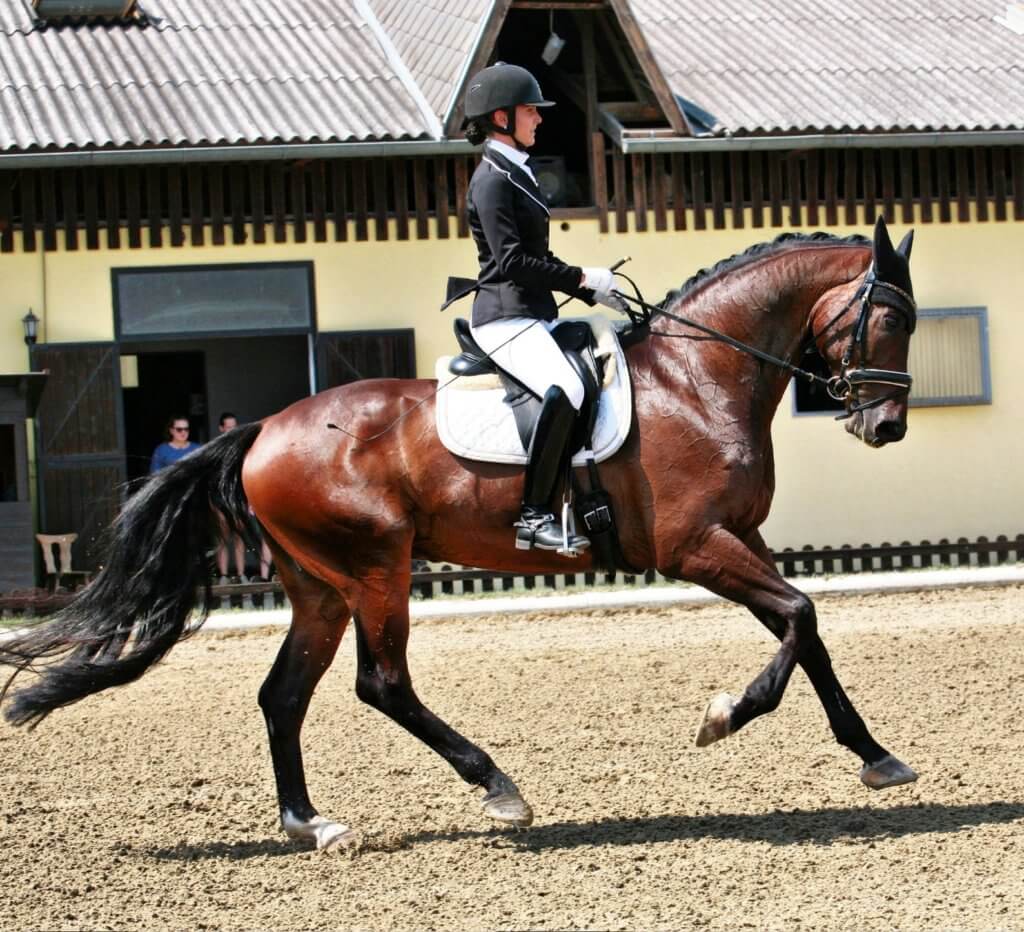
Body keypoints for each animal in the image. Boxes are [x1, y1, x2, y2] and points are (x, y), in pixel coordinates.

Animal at [1, 217, 920, 851]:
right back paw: (497, 787)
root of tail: (262, 430)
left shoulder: (742, 540)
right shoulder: (696, 546)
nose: (887, 428)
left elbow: (806, 628)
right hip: (376, 570)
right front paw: (726, 714)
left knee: (283, 695)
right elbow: (799, 617)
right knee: (382, 685)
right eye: (891, 319)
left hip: (319, 588)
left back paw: (312, 824)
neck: (696, 379)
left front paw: (875, 755)